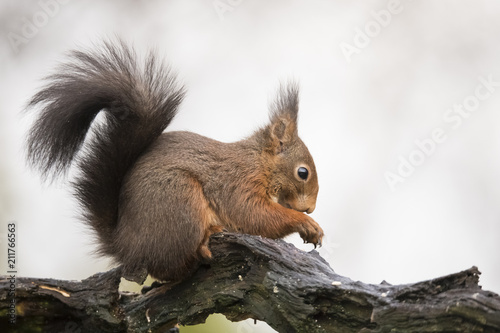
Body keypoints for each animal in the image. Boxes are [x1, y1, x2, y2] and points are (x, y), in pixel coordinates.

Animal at [26, 40, 324, 282]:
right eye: (303, 172)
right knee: (167, 268)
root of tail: (126, 246)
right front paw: (306, 224)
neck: (260, 163)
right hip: (179, 199)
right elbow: (253, 214)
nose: (310, 208)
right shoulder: (237, 181)